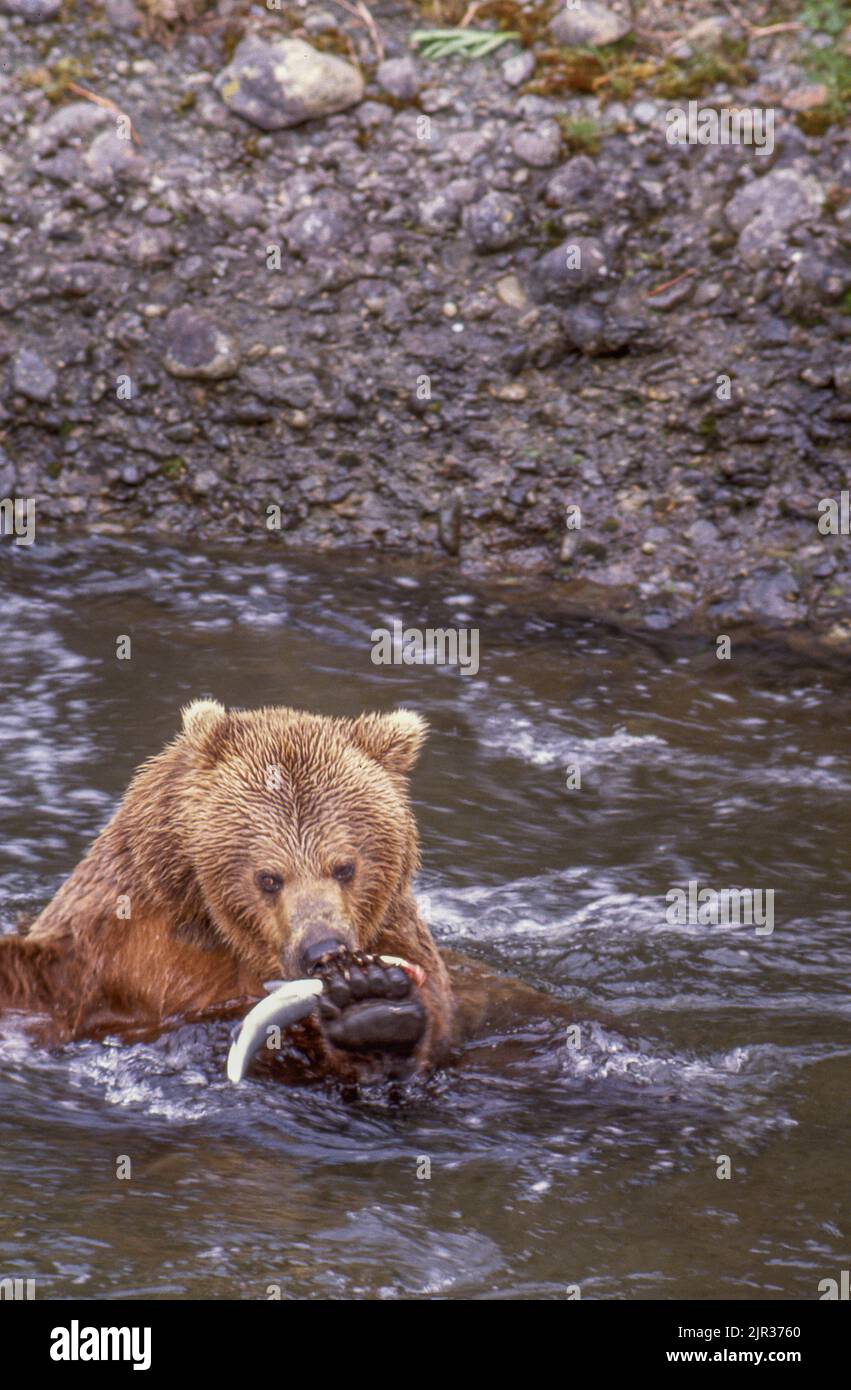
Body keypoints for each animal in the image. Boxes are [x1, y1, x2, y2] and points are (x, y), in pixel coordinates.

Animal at [1, 700, 464, 1078]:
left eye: (345, 867)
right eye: (268, 877)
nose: (323, 949)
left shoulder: (396, 935)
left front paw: (373, 1002)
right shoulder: (96, 956)